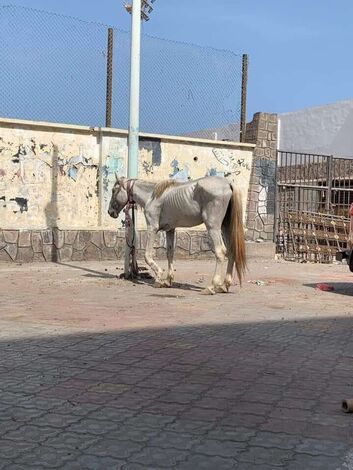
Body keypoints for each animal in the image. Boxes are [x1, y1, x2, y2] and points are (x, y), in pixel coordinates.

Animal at [107, 176, 245, 294]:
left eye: (114, 190)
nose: (110, 212)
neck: (152, 196)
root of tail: (228, 183)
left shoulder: (152, 228)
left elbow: (147, 255)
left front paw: (159, 277)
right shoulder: (170, 230)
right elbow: (170, 253)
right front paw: (168, 280)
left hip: (213, 227)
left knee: (220, 252)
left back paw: (211, 286)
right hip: (225, 227)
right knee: (231, 252)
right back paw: (224, 285)